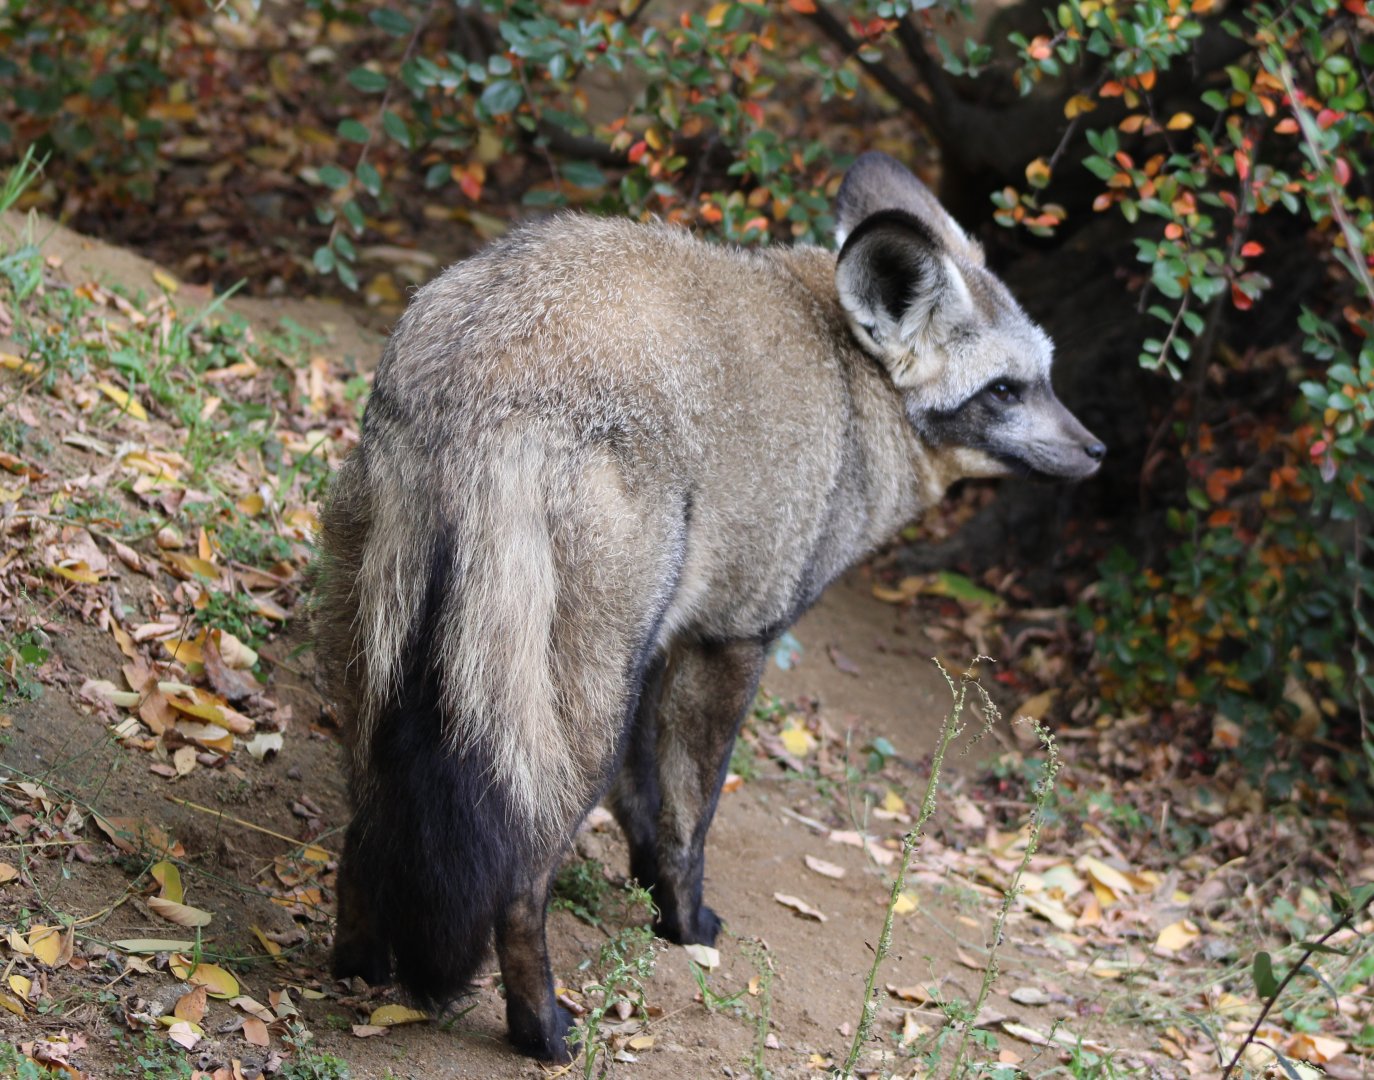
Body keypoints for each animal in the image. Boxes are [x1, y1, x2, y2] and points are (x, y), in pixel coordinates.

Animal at [314, 151, 1104, 1062]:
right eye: (1006, 391)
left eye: (1047, 379)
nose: (1098, 451)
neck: (850, 392)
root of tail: (478, 381)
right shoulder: (734, 638)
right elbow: (693, 814)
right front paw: (684, 924)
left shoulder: (664, 642)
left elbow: (648, 805)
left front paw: (649, 890)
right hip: (577, 709)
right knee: (518, 882)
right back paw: (541, 1029)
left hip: (400, 678)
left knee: (364, 833)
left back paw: (360, 970)